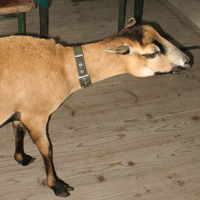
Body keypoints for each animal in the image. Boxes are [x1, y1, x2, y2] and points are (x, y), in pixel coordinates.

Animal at [0, 18, 190, 196]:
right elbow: (47, 149)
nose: (188, 61)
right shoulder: (36, 116)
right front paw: (57, 186)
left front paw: (21, 158)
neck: (64, 66)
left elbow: (18, 131)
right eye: (153, 53)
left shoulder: (19, 111)